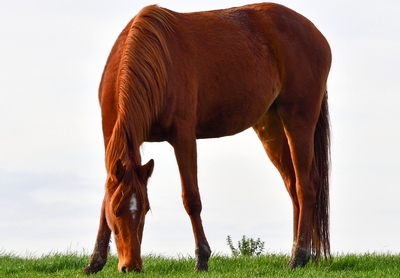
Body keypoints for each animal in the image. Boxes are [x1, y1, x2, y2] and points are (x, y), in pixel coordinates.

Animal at [83, 2, 332, 274]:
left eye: (146, 210)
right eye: (117, 211)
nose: (132, 266)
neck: (154, 57)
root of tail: (315, 33)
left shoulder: (183, 137)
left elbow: (191, 198)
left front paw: (202, 258)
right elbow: (104, 200)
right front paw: (95, 261)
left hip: (298, 120)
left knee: (305, 185)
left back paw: (299, 256)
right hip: (272, 127)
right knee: (292, 185)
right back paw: (297, 253)